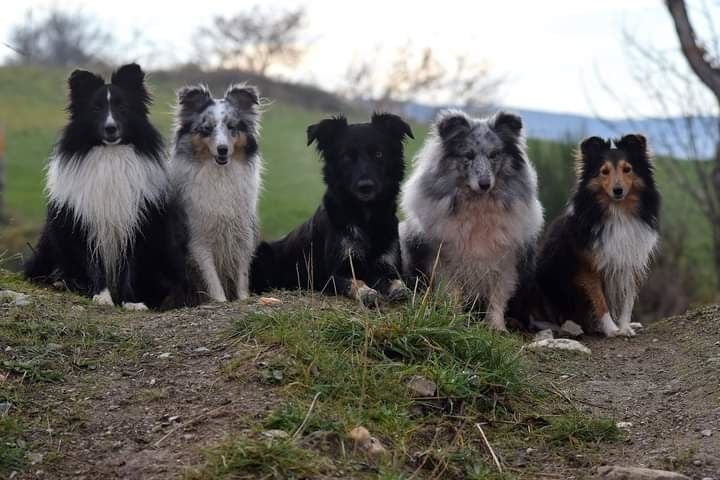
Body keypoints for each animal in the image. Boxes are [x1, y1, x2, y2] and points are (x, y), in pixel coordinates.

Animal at [170, 82, 262, 300]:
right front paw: (220, 300)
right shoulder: (198, 239)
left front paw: (243, 298)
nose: (222, 150)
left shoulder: (242, 234)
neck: (220, 174)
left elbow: (242, 277)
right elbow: (212, 280)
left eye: (232, 127)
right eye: (207, 129)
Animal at [250, 114, 414, 306]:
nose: (365, 187)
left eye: (379, 154)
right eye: (346, 157)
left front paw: (399, 289)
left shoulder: (386, 264)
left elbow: (395, 280)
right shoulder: (333, 275)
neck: (365, 218)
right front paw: (367, 293)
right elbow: (355, 281)